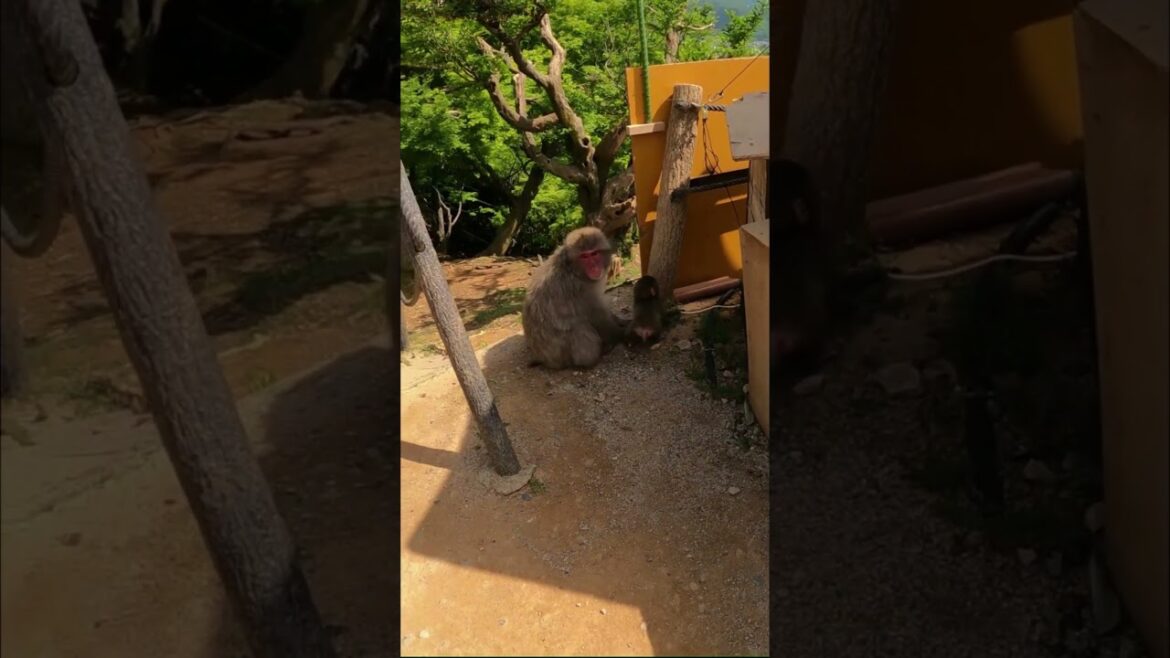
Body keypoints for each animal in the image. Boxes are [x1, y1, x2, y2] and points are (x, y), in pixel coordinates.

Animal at [522, 227, 627, 369]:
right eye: (584, 256)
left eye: (594, 254)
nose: (594, 267)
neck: (572, 269)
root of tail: (543, 359)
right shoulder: (580, 288)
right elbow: (598, 317)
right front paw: (621, 334)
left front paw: (621, 320)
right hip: (560, 354)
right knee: (580, 327)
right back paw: (592, 358)